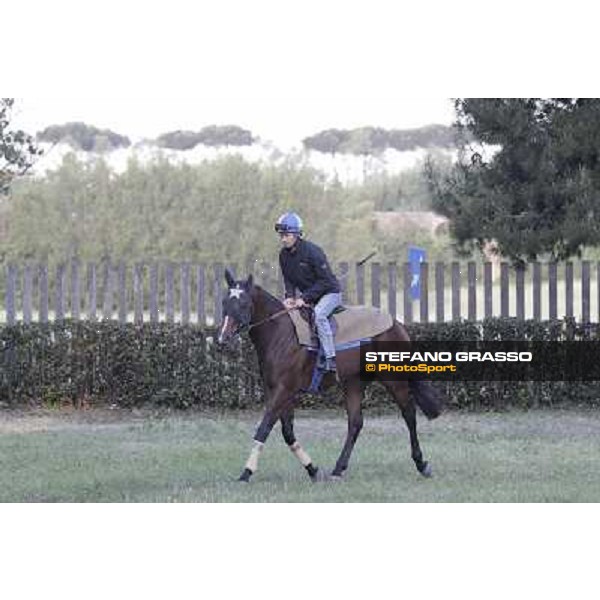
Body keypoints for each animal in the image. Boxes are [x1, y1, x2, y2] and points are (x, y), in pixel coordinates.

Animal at [218, 270, 442, 486]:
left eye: (243, 303)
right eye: (224, 302)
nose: (222, 339)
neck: (280, 334)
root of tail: (396, 324)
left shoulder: (284, 390)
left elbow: (264, 428)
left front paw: (246, 473)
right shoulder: (277, 391)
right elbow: (288, 432)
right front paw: (313, 470)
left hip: (393, 379)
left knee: (409, 413)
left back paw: (421, 463)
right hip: (353, 383)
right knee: (355, 423)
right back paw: (338, 469)